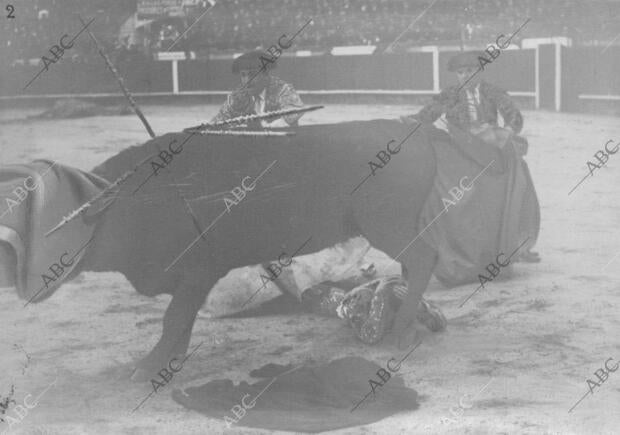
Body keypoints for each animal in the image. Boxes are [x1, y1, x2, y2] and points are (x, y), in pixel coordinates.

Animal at [43, 121, 438, 380]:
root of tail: (416, 132)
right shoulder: (189, 279)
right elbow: (182, 318)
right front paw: (168, 362)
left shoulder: (200, 270)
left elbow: (174, 317)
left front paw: (147, 367)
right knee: (413, 264)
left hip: (387, 225)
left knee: (422, 260)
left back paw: (402, 329)